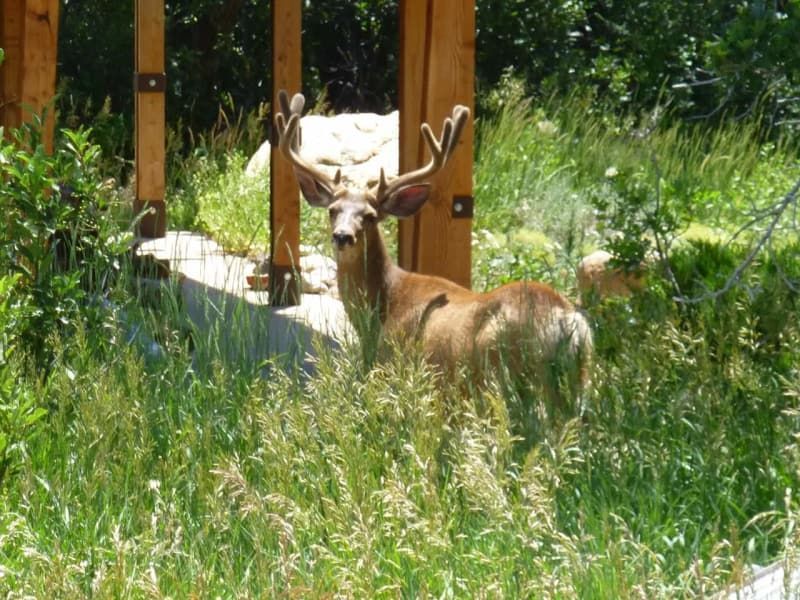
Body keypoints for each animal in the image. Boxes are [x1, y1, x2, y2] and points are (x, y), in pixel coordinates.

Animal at [274, 90, 592, 404]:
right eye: (333, 210)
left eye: (370, 216)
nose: (342, 236)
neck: (381, 310)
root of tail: (567, 321)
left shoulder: (395, 365)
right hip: (573, 382)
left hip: (508, 377)